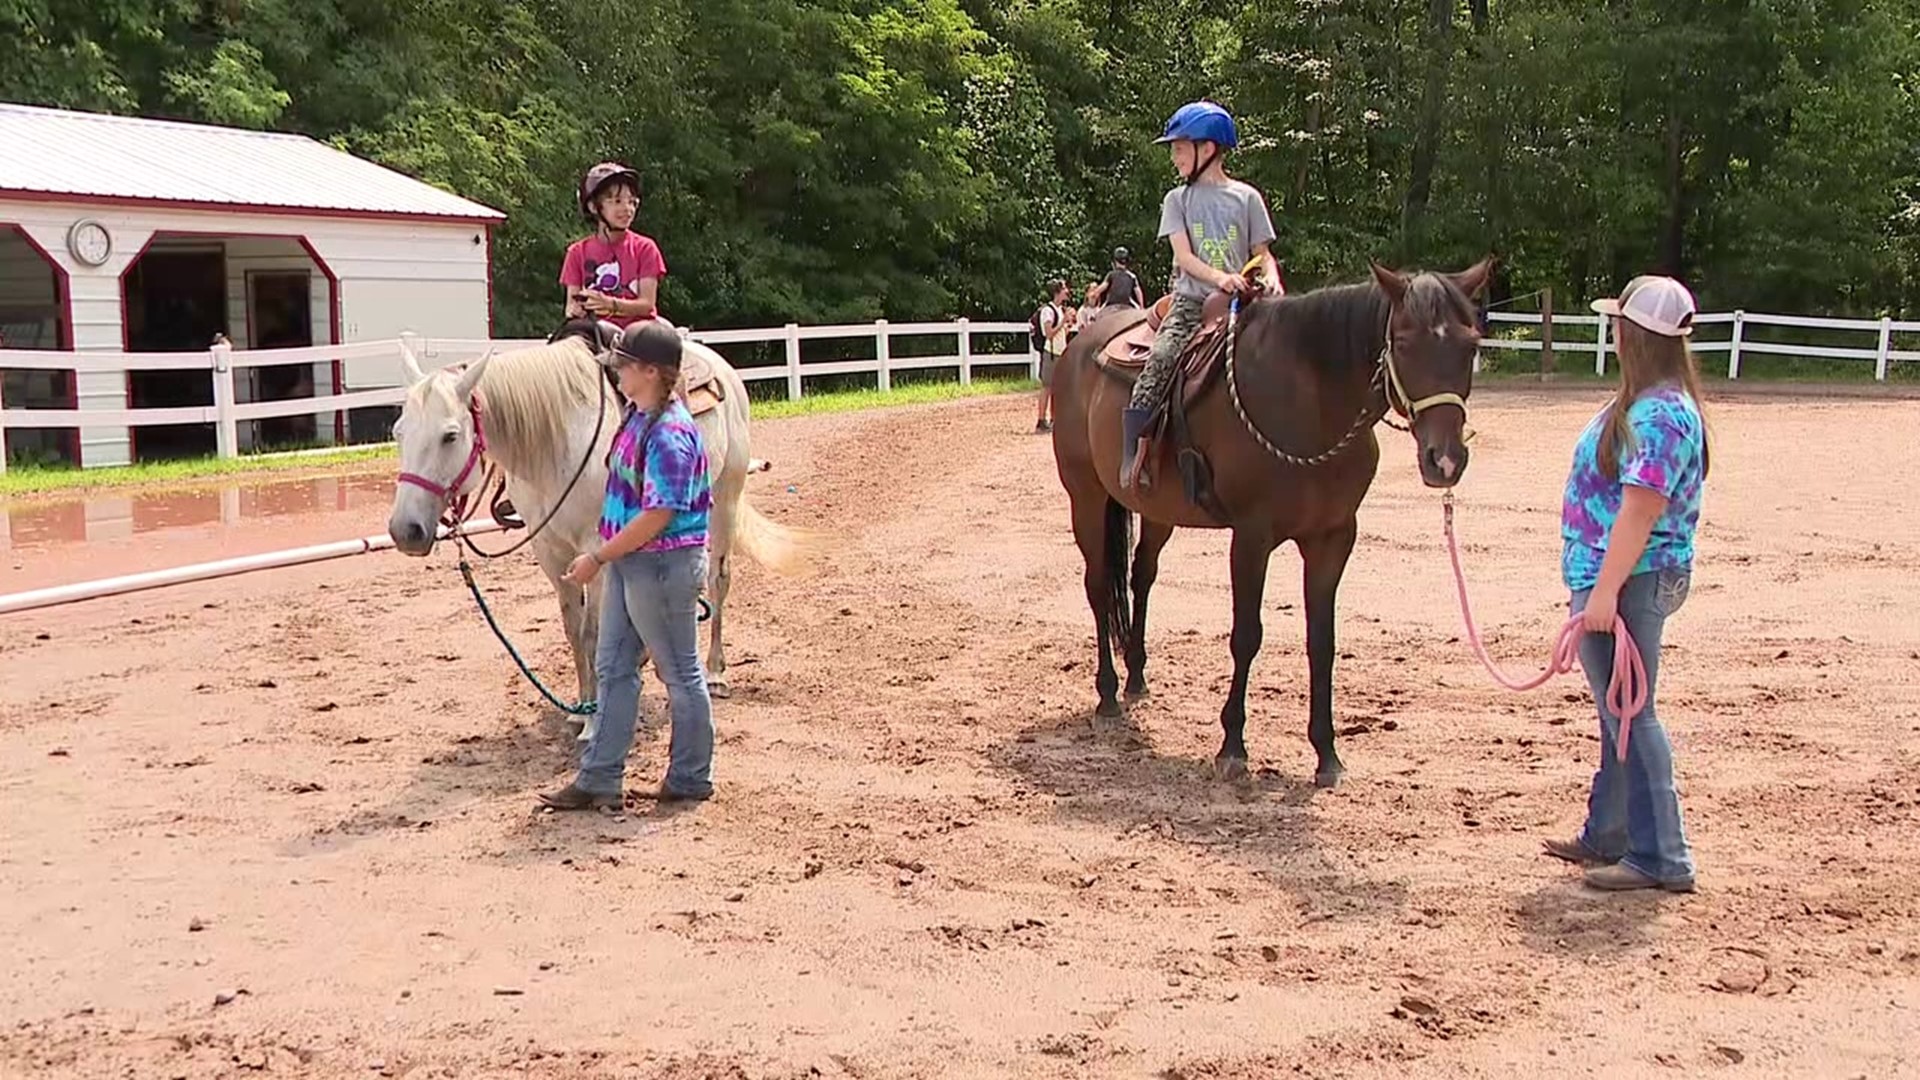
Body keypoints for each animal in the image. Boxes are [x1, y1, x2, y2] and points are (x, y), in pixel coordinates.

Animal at [385, 319, 806, 737]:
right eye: (398, 432)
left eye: (450, 435)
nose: (405, 530)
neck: (555, 441)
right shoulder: (550, 550)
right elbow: (573, 628)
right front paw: (581, 707)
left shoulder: (596, 546)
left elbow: (593, 632)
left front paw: (593, 719)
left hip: (726, 496)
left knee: (718, 579)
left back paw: (715, 673)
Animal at [1052, 259, 1482, 780]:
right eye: (1401, 343)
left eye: (1471, 345)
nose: (1446, 460)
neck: (1309, 405)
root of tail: (1080, 345)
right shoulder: (1252, 538)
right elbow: (1246, 636)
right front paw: (1232, 745)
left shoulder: (1334, 537)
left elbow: (1322, 641)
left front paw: (1327, 753)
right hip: (1086, 498)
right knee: (1098, 586)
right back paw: (1109, 695)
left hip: (1156, 511)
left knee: (1141, 575)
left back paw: (1136, 677)